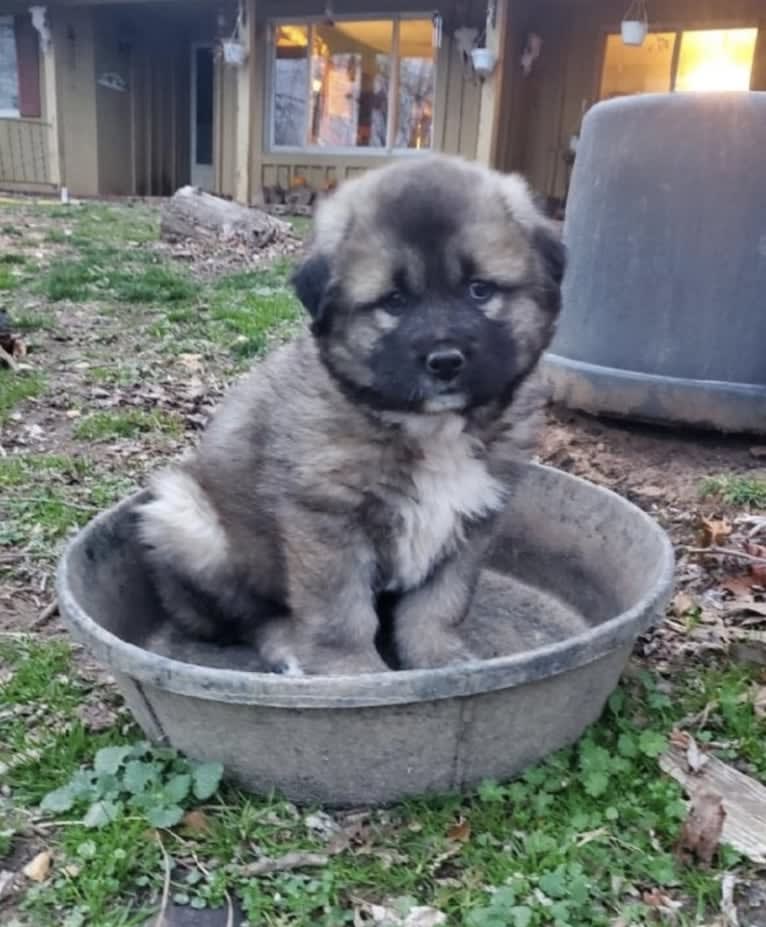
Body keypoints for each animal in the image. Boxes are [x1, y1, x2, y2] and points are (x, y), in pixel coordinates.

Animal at [138, 156, 568, 676]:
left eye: (479, 290)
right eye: (394, 301)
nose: (445, 361)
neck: (429, 430)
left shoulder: (475, 518)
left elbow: (439, 604)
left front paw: (440, 662)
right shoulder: (327, 520)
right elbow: (340, 614)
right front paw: (354, 673)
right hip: (187, 520)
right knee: (251, 617)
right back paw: (286, 646)